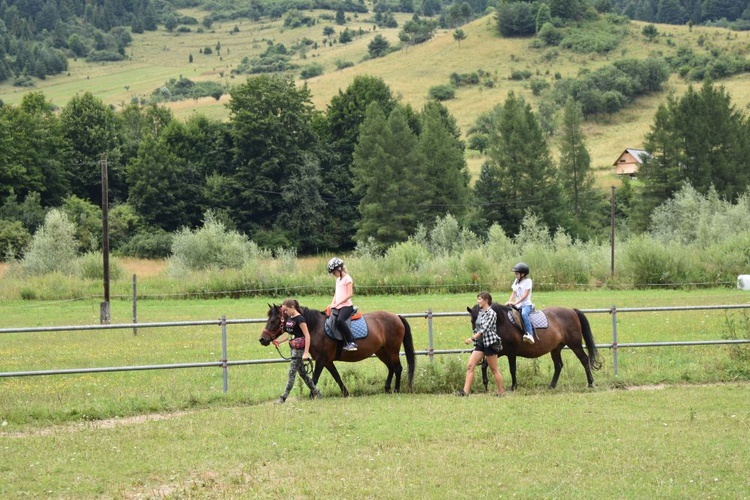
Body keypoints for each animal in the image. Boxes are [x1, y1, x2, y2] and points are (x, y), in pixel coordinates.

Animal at [262, 302, 418, 396]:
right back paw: (387, 388)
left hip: (392, 350)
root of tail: (397, 317)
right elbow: (336, 376)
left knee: (397, 368)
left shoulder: (321, 360)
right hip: (381, 351)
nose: (262, 339)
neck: (314, 327)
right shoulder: (327, 361)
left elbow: (315, 377)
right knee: (391, 368)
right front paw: (345, 393)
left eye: (274, 320)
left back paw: (396, 390)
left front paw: (312, 395)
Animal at [470, 300, 604, 390]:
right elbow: (484, 365)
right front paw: (485, 384)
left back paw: (591, 383)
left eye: (483, 319)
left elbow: (512, 369)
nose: (478, 340)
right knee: (558, 365)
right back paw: (552, 385)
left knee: (584, 359)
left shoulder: (511, 353)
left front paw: (514, 386)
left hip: (575, 344)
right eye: (472, 320)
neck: (503, 323)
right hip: (556, 348)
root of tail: (572, 311)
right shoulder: (498, 351)